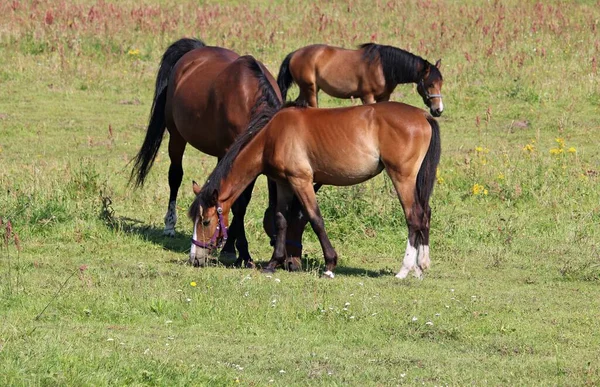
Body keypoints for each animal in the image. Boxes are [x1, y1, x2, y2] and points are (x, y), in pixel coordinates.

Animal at [129, 37, 286, 266]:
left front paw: (233, 247)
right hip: (177, 137)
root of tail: (196, 50)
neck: (249, 98)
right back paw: (170, 225)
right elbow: (239, 204)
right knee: (175, 176)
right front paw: (239, 251)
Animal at [190, 93, 442, 278]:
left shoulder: (301, 181)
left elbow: (315, 219)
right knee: (425, 214)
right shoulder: (284, 183)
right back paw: (420, 266)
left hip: (402, 178)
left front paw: (330, 265)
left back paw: (405, 270)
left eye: (206, 221)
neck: (272, 136)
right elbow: (281, 220)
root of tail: (423, 115)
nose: (194, 258)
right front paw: (273, 263)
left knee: (414, 218)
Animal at [278, 43, 442, 116]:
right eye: (431, 84)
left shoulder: (384, 97)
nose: (438, 110)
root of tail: (294, 54)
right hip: (310, 89)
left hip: (307, 89)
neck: (382, 67)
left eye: (441, 83)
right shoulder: (367, 96)